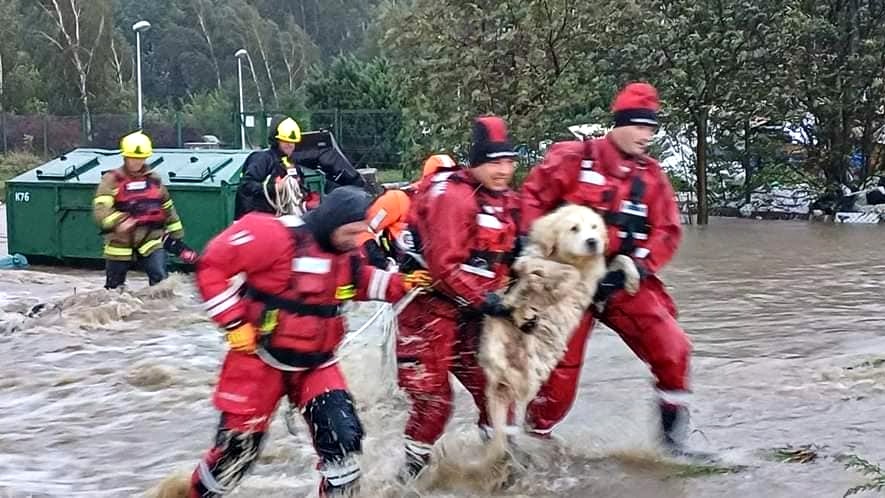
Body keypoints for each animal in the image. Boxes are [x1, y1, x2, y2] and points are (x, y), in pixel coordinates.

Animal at [434, 203, 636, 490]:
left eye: (595, 227)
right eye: (574, 228)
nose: (592, 241)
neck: (567, 258)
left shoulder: (593, 274)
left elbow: (616, 261)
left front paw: (631, 278)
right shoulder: (532, 259)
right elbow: (542, 268)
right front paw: (544, 283)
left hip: (530, 370)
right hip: (497, 345)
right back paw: (520, 312)